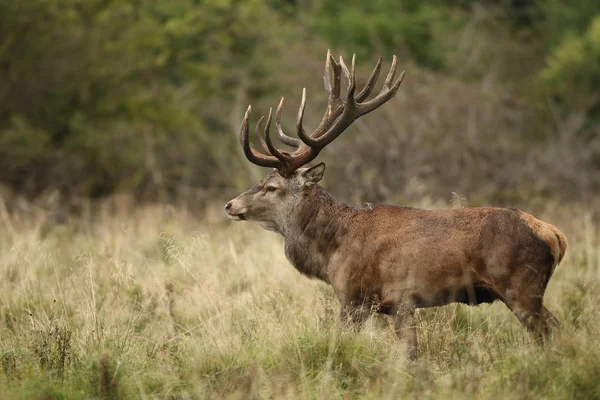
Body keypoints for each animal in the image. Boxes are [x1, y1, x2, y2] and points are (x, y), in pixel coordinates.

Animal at [224, 50, 568, 360]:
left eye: (272, 187)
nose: (230, 204)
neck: (334, 248)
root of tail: (555, 235)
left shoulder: (360, 297)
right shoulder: (395, 304)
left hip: (520, 285)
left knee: (550, 330)